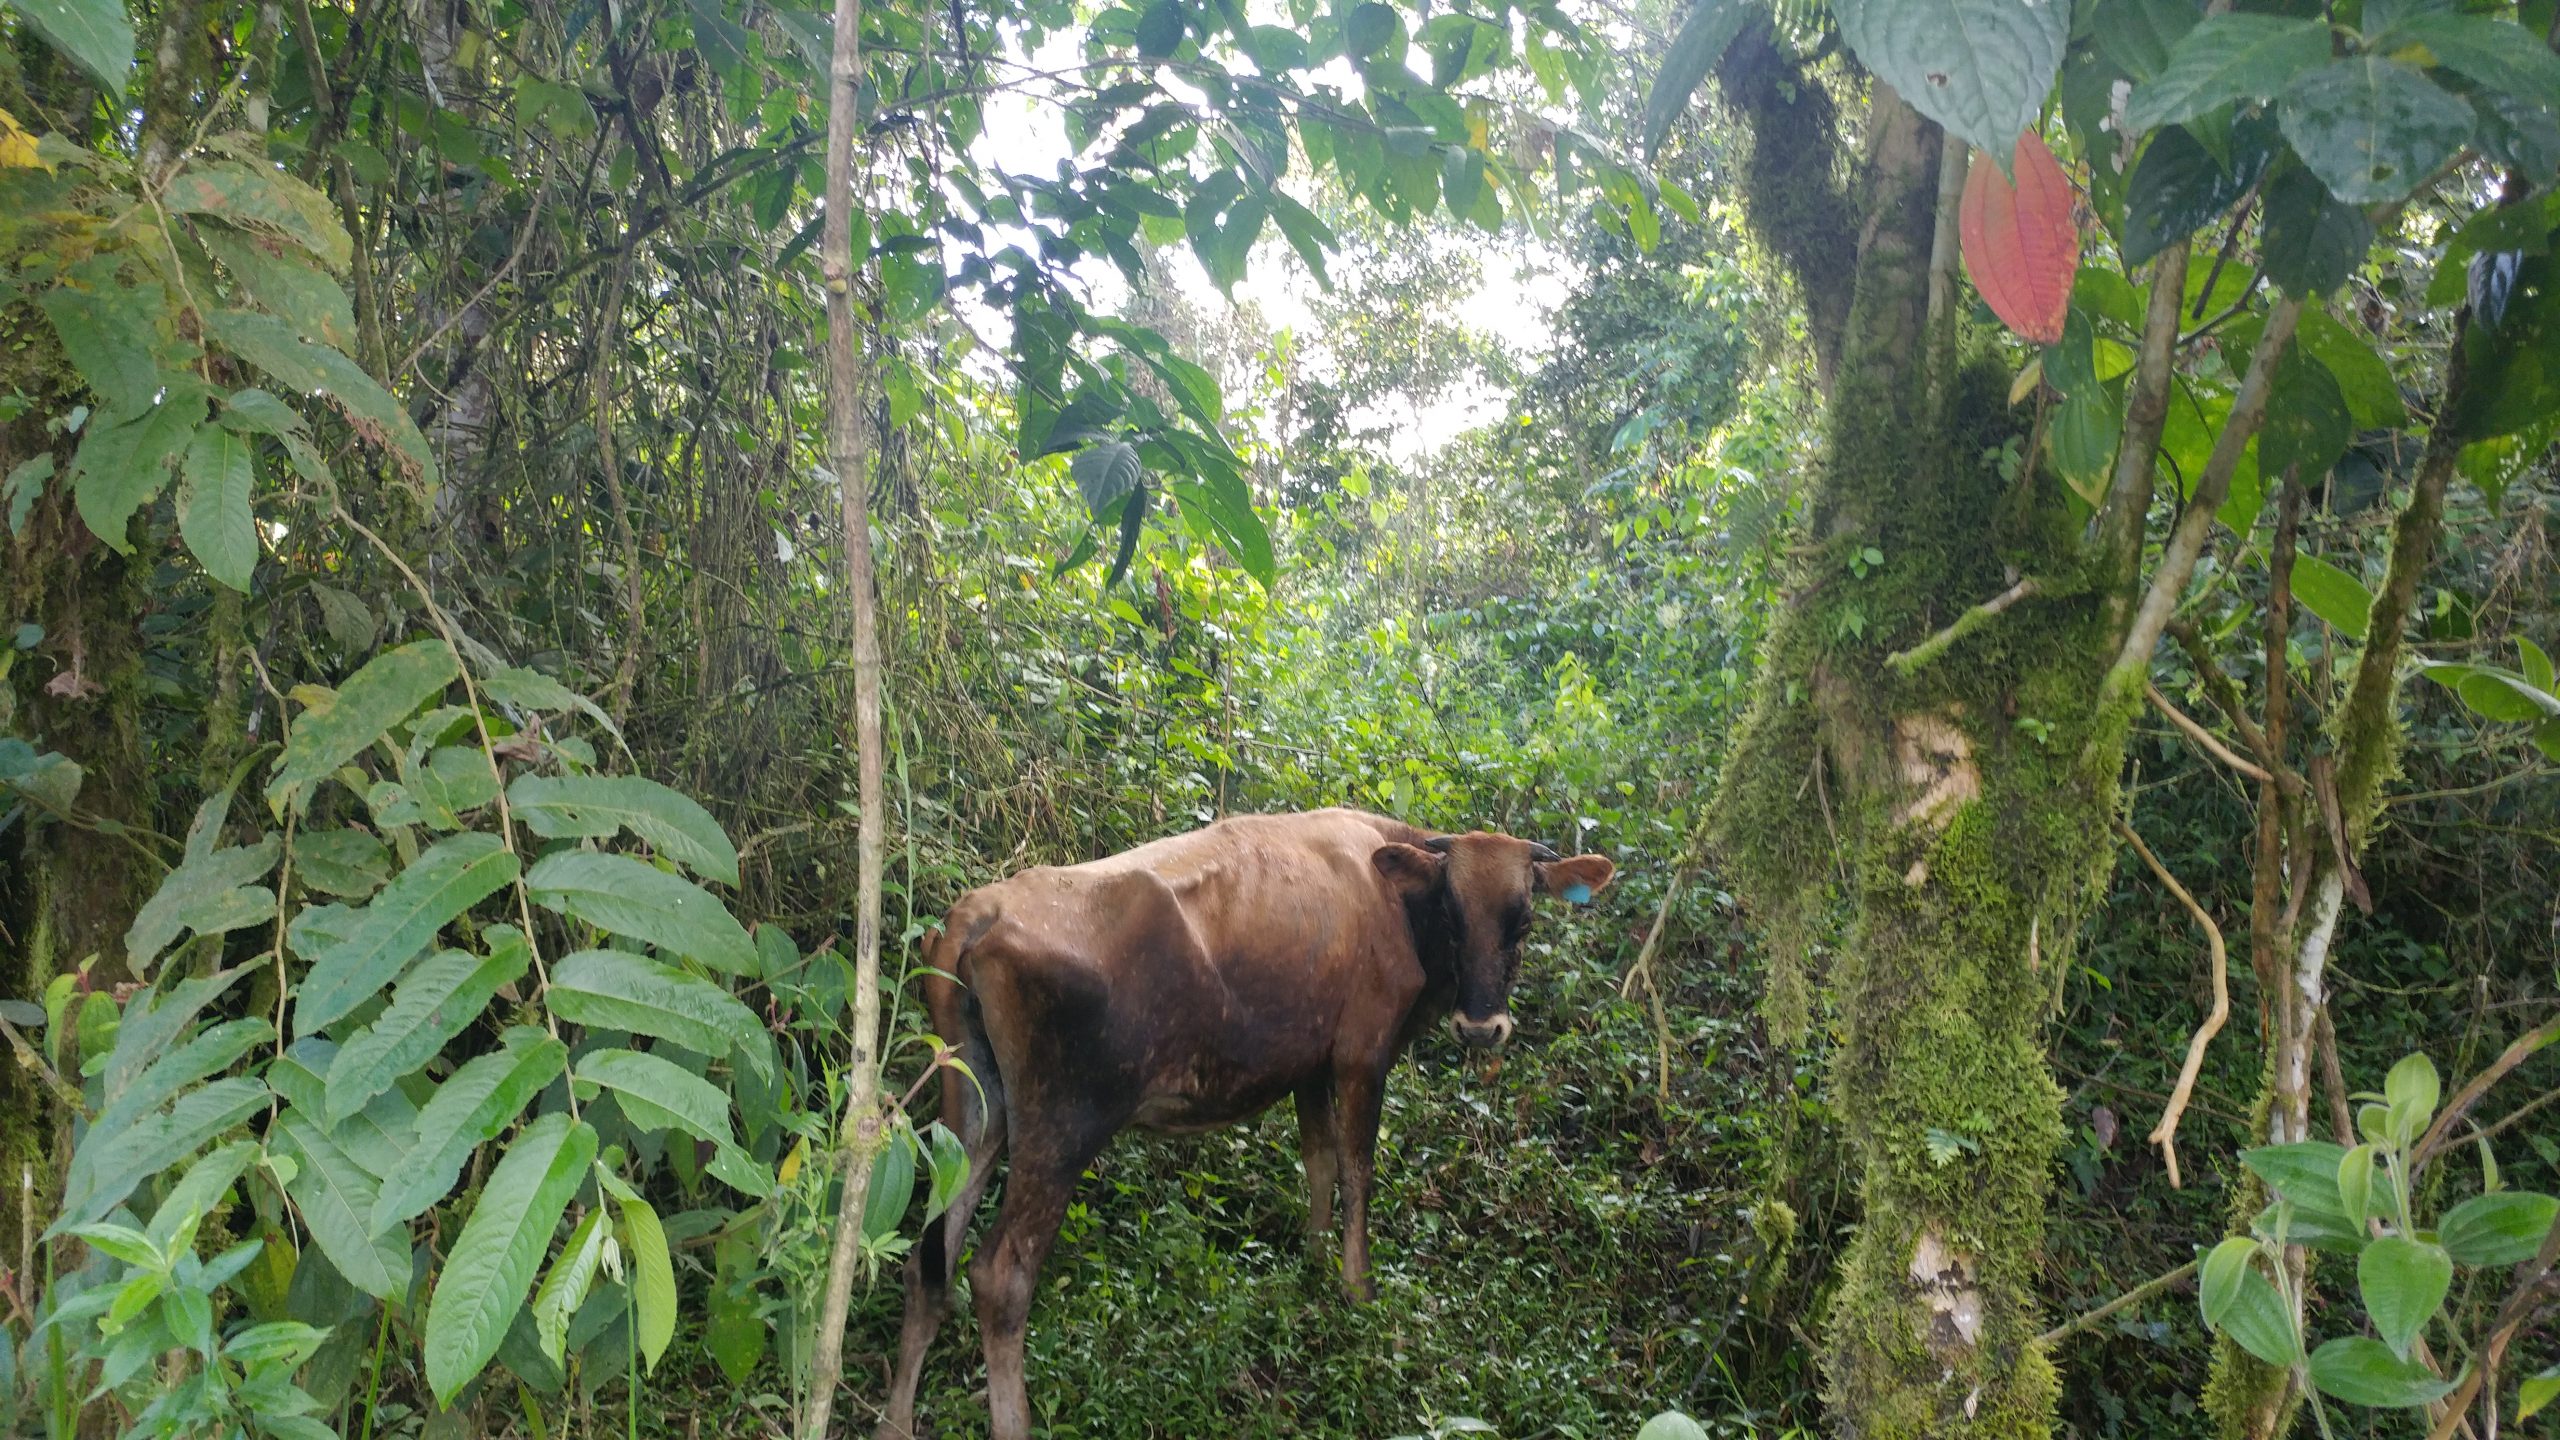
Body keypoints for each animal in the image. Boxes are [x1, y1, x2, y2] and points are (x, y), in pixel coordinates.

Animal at [871, 807, 1616, 1440]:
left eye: (1523, 921)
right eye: (1452, 915)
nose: (1482, 1028)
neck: (1392, 897)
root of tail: (978, 912)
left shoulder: (1310, 1061)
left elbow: (1318, 1160)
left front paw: (1312, 1265)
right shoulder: (1362, 1052)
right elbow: (1358, 1170)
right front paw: (1357, 1290)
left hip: (973, 1107)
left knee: (926, 1262)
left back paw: (895, 1422)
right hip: (1065, 1124)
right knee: (999, 1278)